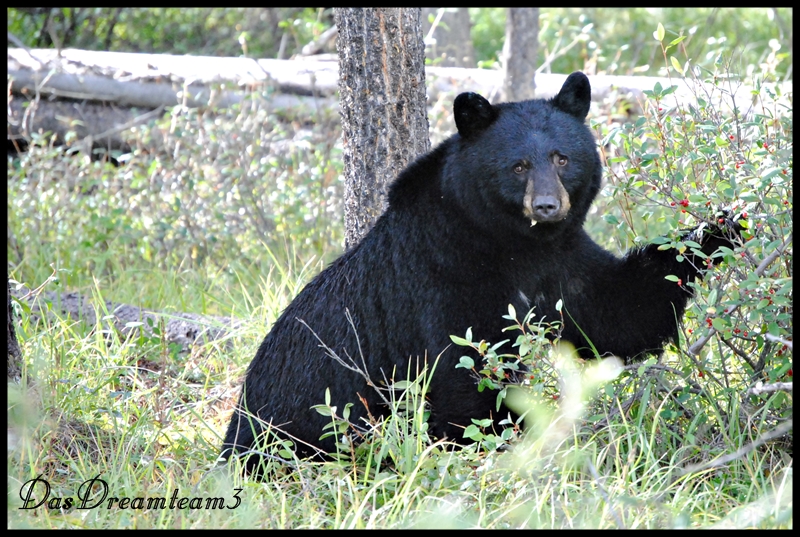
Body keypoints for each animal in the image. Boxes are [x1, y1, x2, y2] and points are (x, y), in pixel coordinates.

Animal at [219, 72, 736, 474]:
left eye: (562, 158)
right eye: (518, 165)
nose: (547, 206)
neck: (515, 245)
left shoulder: (565, 262)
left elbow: (622, 312)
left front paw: (722, 229)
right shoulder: (446, 274)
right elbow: (470, 369)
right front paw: (495, 445)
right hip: (300, 423)